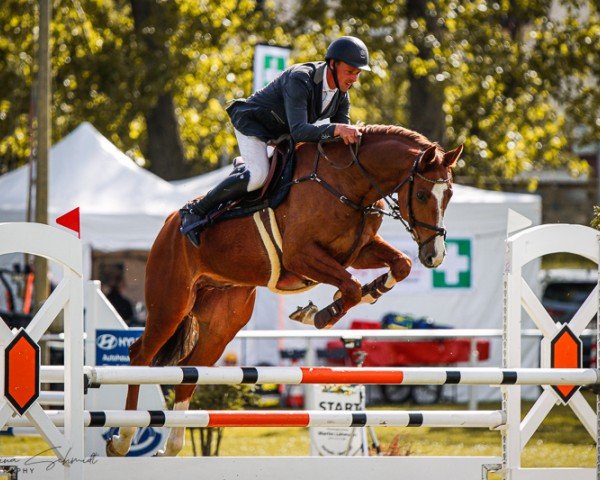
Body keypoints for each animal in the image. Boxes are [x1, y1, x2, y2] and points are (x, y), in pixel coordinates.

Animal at [108, 124, 464, 454]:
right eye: (422, 195)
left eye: (448, 196)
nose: (434, 256)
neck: (348, 183)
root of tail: (169, 225)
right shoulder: (302, 255)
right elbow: (349, 286)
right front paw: (321, 314)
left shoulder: (358, 251)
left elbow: (400, 265)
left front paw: (372, 290)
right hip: (171, 303)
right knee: (141, 355)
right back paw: (122, 439)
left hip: (223, 321)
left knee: (190, 370)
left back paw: (173, 445)